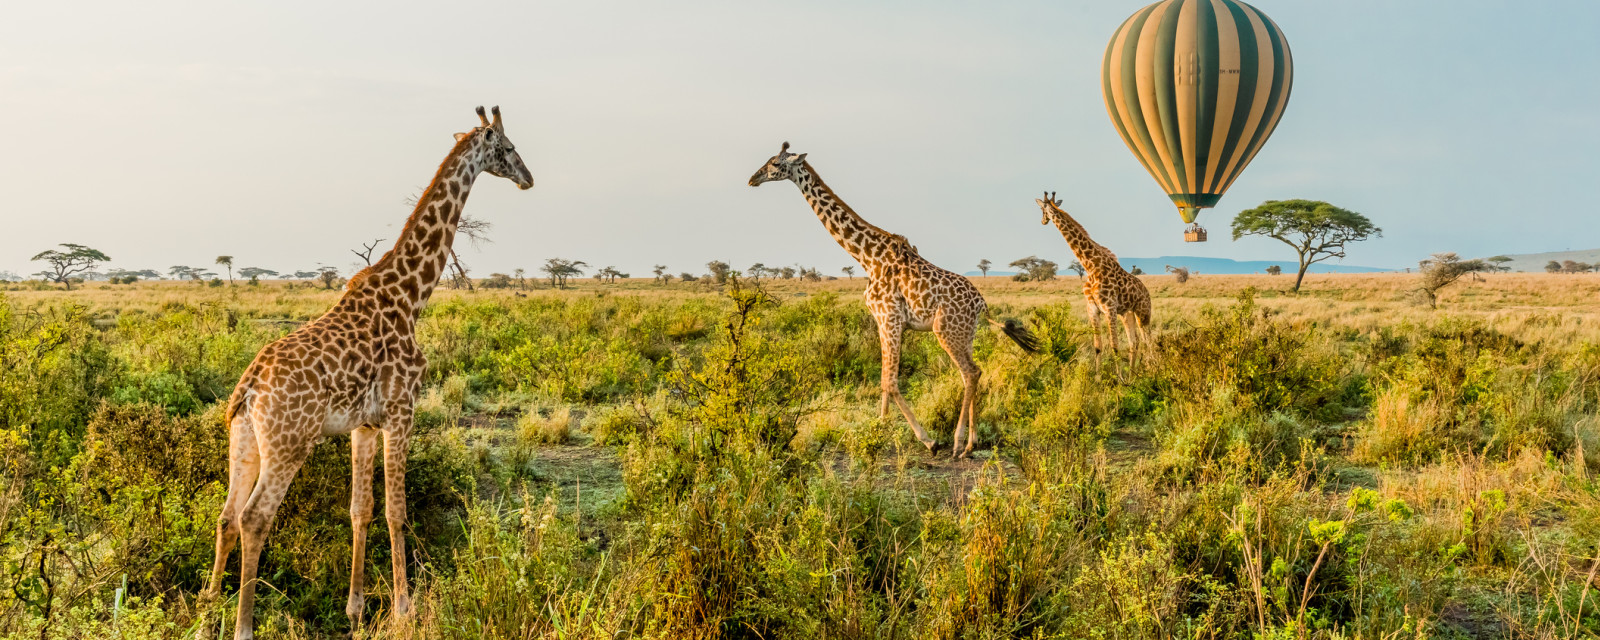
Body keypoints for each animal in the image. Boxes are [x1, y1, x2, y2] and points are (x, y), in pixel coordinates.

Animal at [201, 106, 531, 640]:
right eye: (507, 147)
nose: (528, 177)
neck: (412, 295)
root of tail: (249, 388)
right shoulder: (402, 410)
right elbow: (397, 512)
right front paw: (404, 608)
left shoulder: (364, 424)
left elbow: (361, 510)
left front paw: (355, 608)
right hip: (289, 444)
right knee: (254, 519)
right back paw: (243, 627)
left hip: (244, 439)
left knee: (227, 516)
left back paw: (208, 606)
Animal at [748, 142, 1036, 457]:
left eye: (775, 164)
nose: (753, 179)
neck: (865, 257)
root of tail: (982, 304)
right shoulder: (881, 320)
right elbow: (884, 381)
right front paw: (880, 429)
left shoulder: (890, 318)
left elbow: (891, 381)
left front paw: (927, 439)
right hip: (965, 334)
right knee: (971, 373)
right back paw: (971, 443)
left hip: (945, 330)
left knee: (971, 373)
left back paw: (958, 443)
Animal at [1036, 190, 1152, 363]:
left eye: (1042, 210)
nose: (1043, 221)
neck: (1090, 266)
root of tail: (1147, 293)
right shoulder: (1093, 309)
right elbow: (1098, 347)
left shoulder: (1109, 308)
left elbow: (1115, 347)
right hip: (1127, 313)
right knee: (1135, 343)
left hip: (1143, 313)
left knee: (1148, 341)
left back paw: (1153, 367)